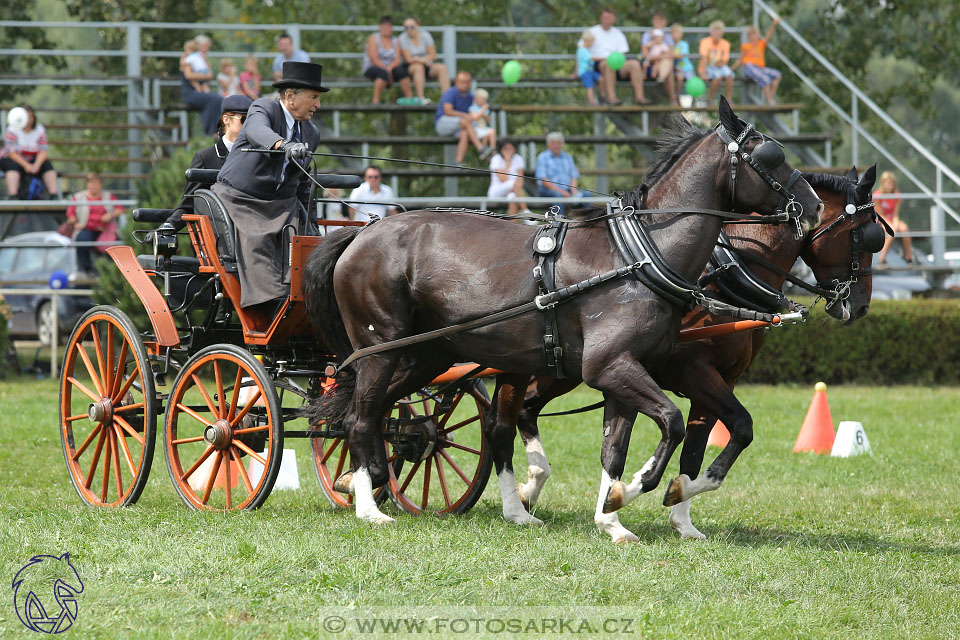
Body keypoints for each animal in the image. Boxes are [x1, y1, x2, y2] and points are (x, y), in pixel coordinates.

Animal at [304, 99, 820, 528]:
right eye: (770, 155)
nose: (813, 205)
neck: (639, 256)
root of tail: (361, 232)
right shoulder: (612, 367)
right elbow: (673, 422)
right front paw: (634, 492)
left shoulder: (626, 372)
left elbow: (616, 449)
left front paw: (613, 517)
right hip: (379, 350)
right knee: (362, 418)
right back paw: (369, 507)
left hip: (424, 356)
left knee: (384, 416)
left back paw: (371, 481)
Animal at [498, 162, 880, 536]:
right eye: (866, 237)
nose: (861, 306)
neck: (723, 281)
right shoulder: (694, 372)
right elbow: (740, 426)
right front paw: (645, 491)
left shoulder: (722, 379)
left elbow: (700, 449)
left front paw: (681, 513)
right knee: (508, 418)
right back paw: (522, 496)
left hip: (562, 368)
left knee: (526, 410)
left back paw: (531, 489)